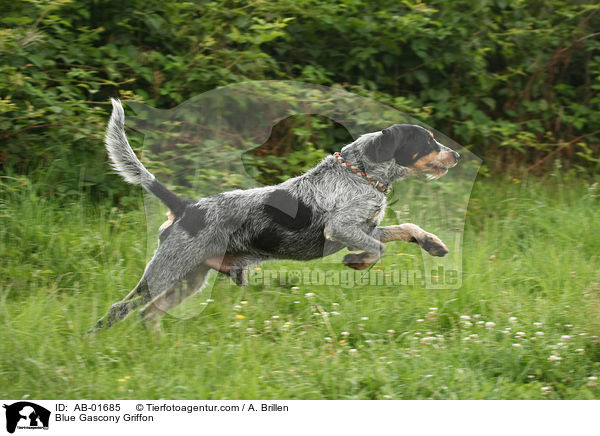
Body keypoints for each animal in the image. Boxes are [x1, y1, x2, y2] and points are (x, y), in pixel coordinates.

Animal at [88, 99, 460, 330]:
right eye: (428, 142)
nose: (456, 155)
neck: (362, 173)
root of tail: (184, 206)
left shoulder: (365, 229)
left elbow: (406, 228)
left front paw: (432, 244)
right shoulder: (341, 230)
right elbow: (378, 249)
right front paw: (357, 262)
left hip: (189, 280)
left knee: (148, 315)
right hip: (164, 274)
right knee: (119, 310)